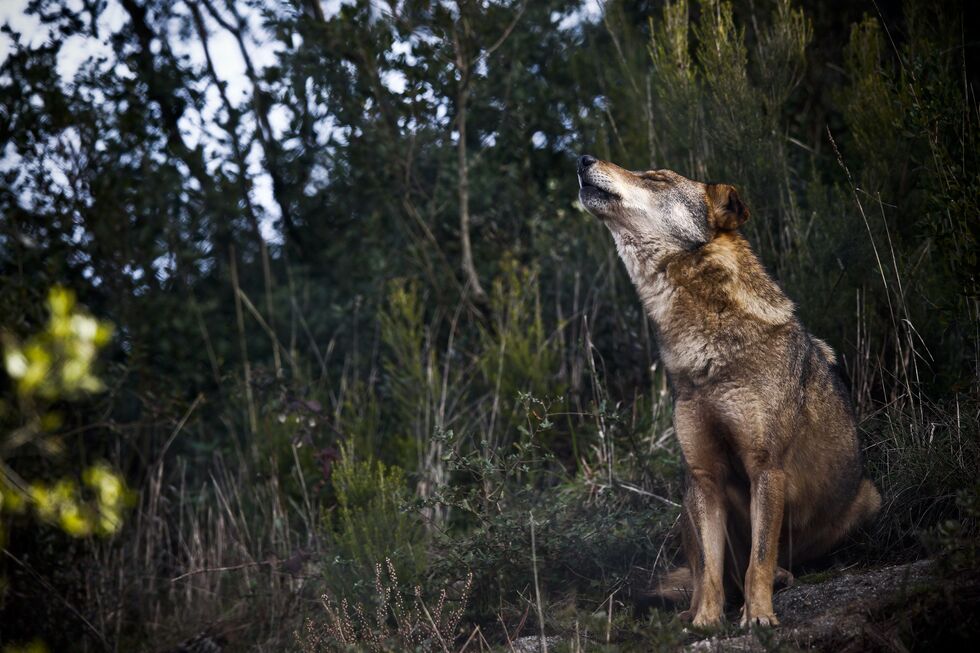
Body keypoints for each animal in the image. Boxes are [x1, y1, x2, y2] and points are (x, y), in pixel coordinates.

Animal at [576, 155, 881, 627]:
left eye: (655, 178)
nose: (583, 159)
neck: (703, 350)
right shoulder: (705, 475)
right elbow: (710, 567)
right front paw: (705, 620)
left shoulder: (766, 468)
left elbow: (760, 558)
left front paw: (759, 618)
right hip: (687, 495)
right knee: (707, 569)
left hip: (869, 500)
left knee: (776, 562)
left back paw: (785, 578)